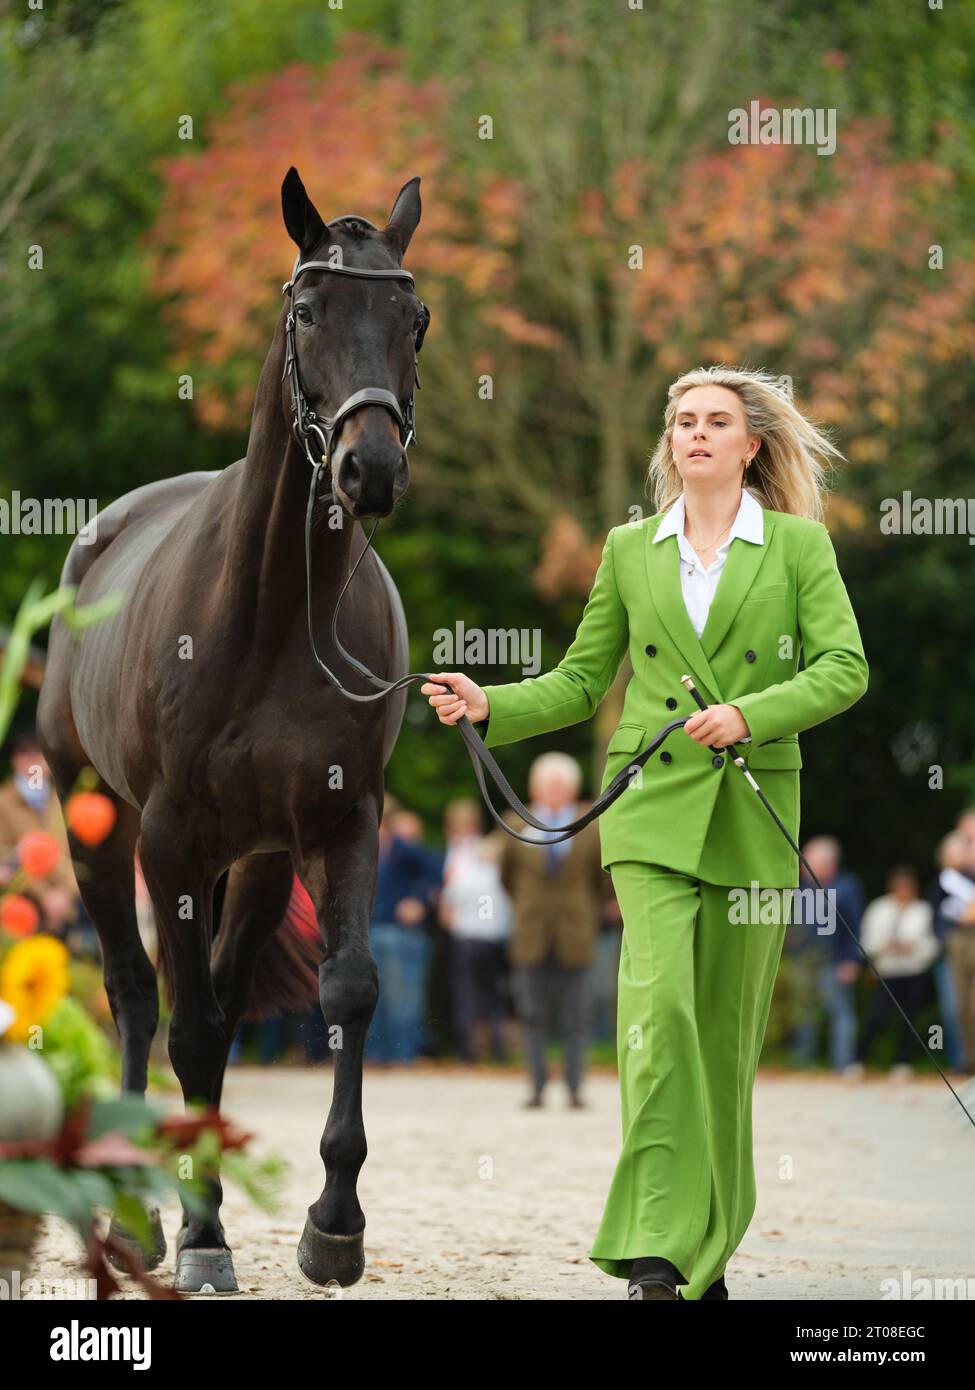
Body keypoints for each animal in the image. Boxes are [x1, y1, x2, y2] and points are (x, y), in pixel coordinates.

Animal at [38, 168, 425, 1295]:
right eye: (309, 311)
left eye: (413, 319)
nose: (368, 469)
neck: (274, 615)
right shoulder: (168, 836)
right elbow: (191, 1027)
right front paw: (204, 1233)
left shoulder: (341, 823)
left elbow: (348, 989)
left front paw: (333, 1225)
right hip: (97, 826)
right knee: (136, 994)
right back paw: (134, 1217)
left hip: (254, 862)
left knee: (209, 982)